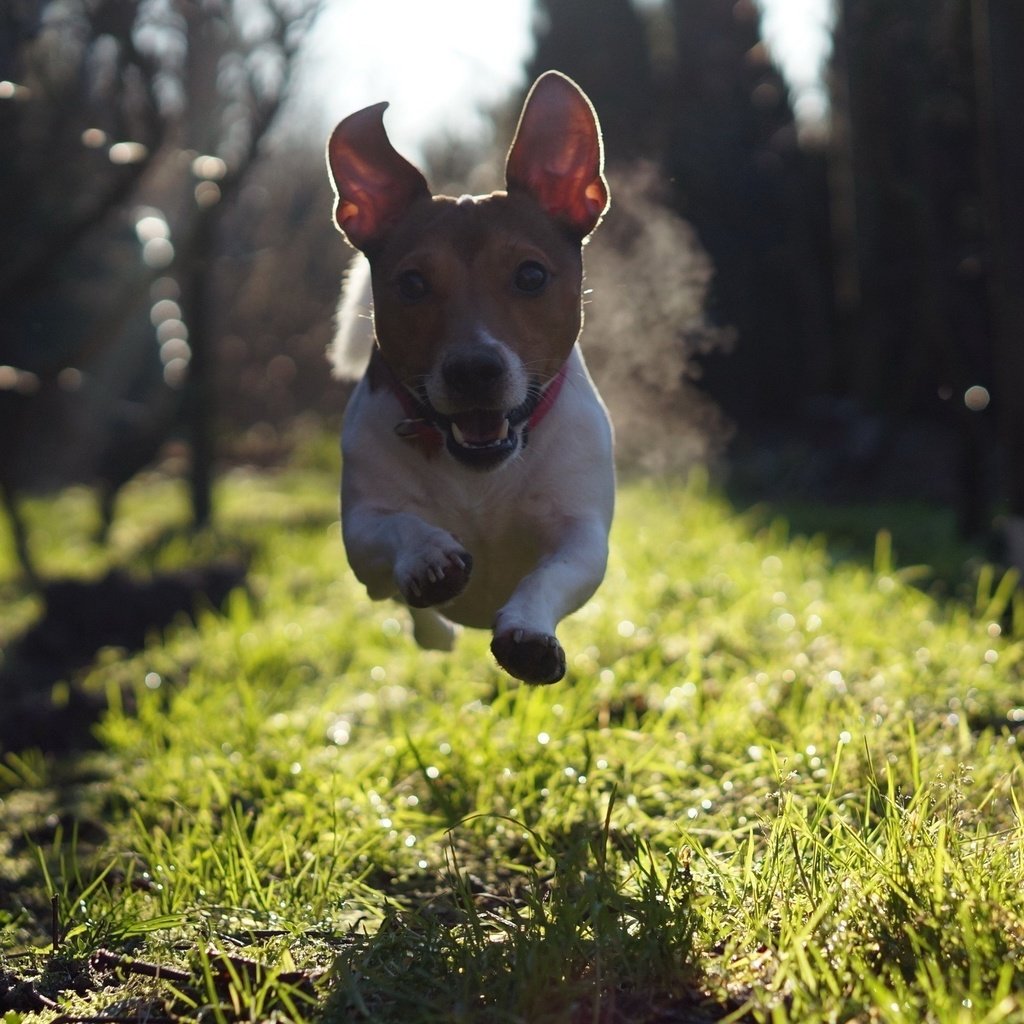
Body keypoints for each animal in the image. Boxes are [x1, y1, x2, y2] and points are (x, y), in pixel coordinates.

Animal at [325, 70, 614, 679]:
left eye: (531, 275)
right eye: (412, 284)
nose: (473, 369)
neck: (478, 470)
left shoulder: (581, 535)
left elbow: (551, 573)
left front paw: (528, 631)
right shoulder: (361, 529)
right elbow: (394, 528)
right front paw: (428, 555)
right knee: (412, 615)